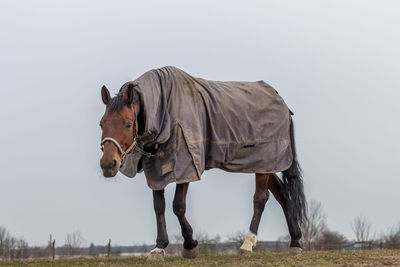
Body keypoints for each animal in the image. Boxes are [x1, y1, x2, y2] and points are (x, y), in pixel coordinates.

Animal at [98, 66, 304, 262]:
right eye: (102, 123)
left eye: (128, 123)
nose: (108, 164)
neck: (165, 108)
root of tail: (283, 104)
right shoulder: (156, 169)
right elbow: (159, 207)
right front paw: (159, 248)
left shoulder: (186, 165)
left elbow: (178, 206)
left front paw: (190, 245)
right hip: (267, 164)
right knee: (282, 194)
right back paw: (295, 242)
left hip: (264, 163)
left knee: (260, 199)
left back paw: (247, 245)